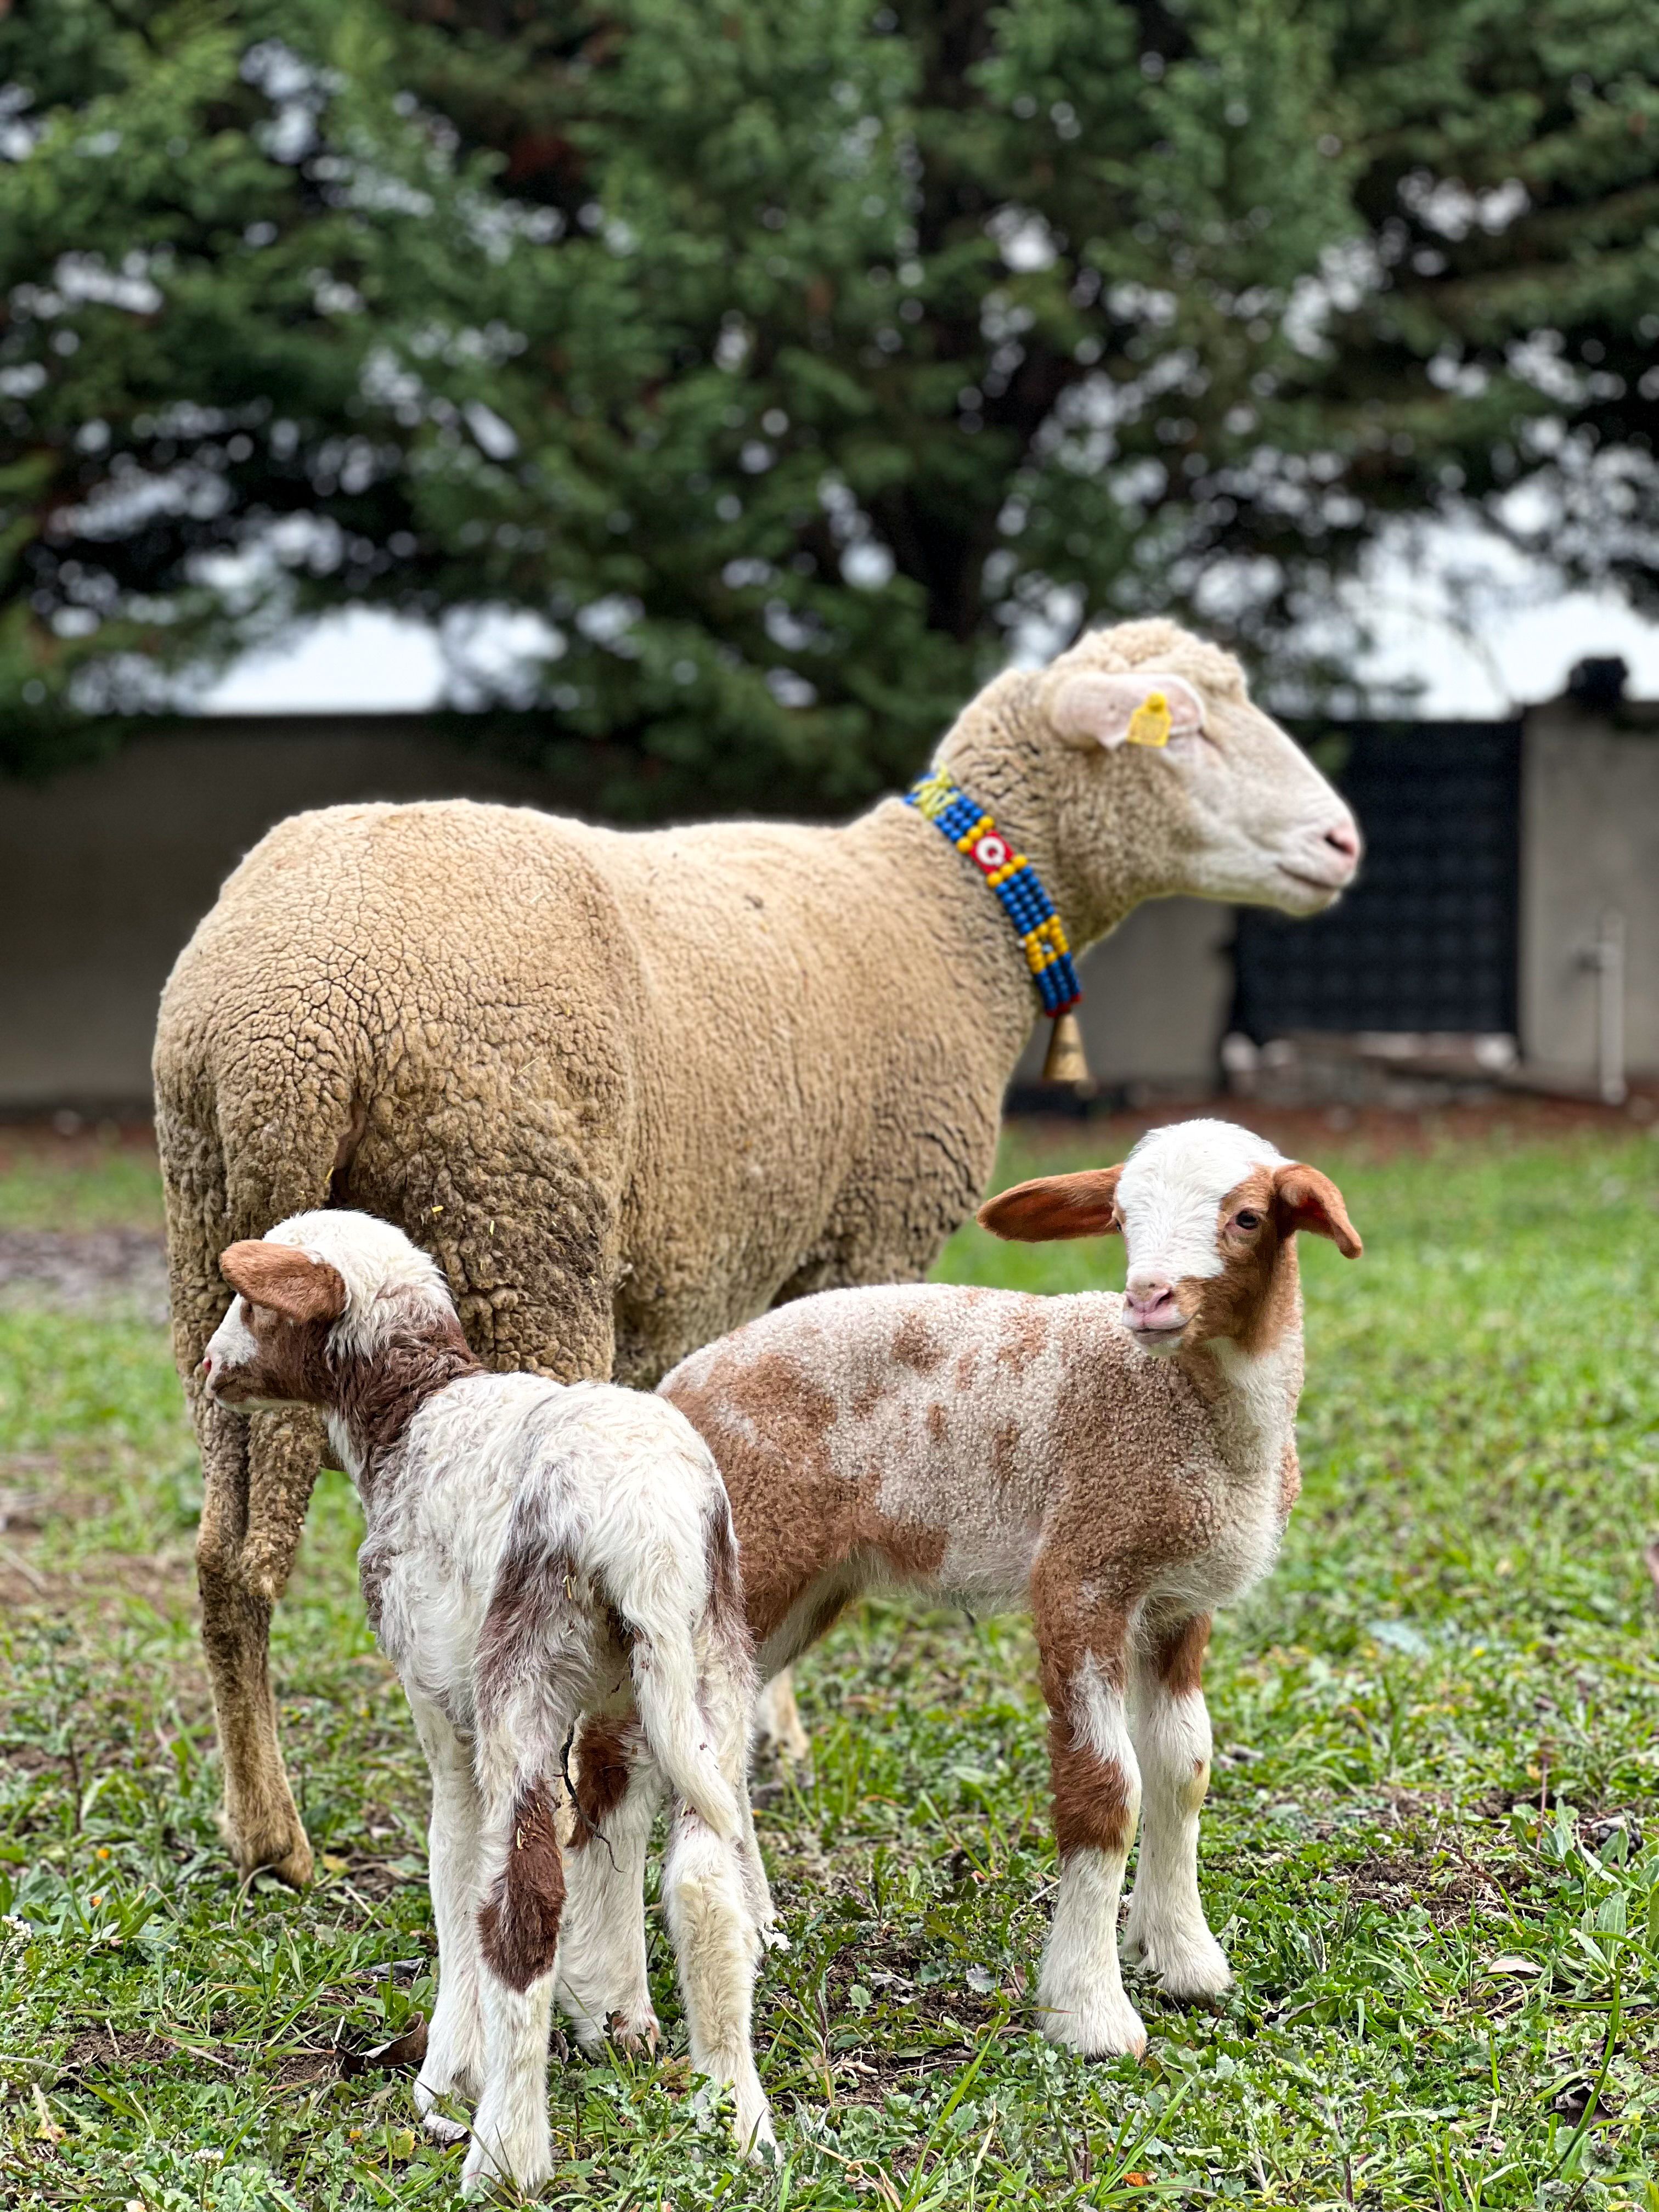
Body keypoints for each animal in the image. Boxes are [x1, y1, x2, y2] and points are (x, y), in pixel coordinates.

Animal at [153, 617, 1360, 1888]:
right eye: (1182, 723)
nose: (1343, 843)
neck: (946, 911)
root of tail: (283, 1030)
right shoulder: (869, 1226)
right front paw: (767, 1731)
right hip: (512, 1215)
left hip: (214, 1249)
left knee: (225, 1558)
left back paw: (265, 1831)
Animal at [197, 1209, 774, 2193]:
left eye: (252, 1301)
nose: (208, 1364)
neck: (412, 1413)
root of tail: (647, 1530)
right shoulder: (606, 1716)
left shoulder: (443, 1706)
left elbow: (455, 1871)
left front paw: (445, 2079)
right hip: (709, 1665)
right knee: (707, 1879)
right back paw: (739, 2118)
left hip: (521, 1682)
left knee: (525, 1908)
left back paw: (508, 2151)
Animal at [591, 1120, 1361, 2061]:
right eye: (1121, 1217)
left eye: (1248, 1217)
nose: (1147, 1300)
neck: (1195, 1416)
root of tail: (672, 1391)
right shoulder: (1082, 1572)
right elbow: (1108, 1791)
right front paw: (1090, 2011)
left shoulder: (1177, 1599)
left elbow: (1183, 1767)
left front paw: (1184, 1958)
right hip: (729, 1562)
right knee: (616, 1762)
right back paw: (614, 2004)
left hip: (793, 1585)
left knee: (713, 1756)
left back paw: (757, 1926)